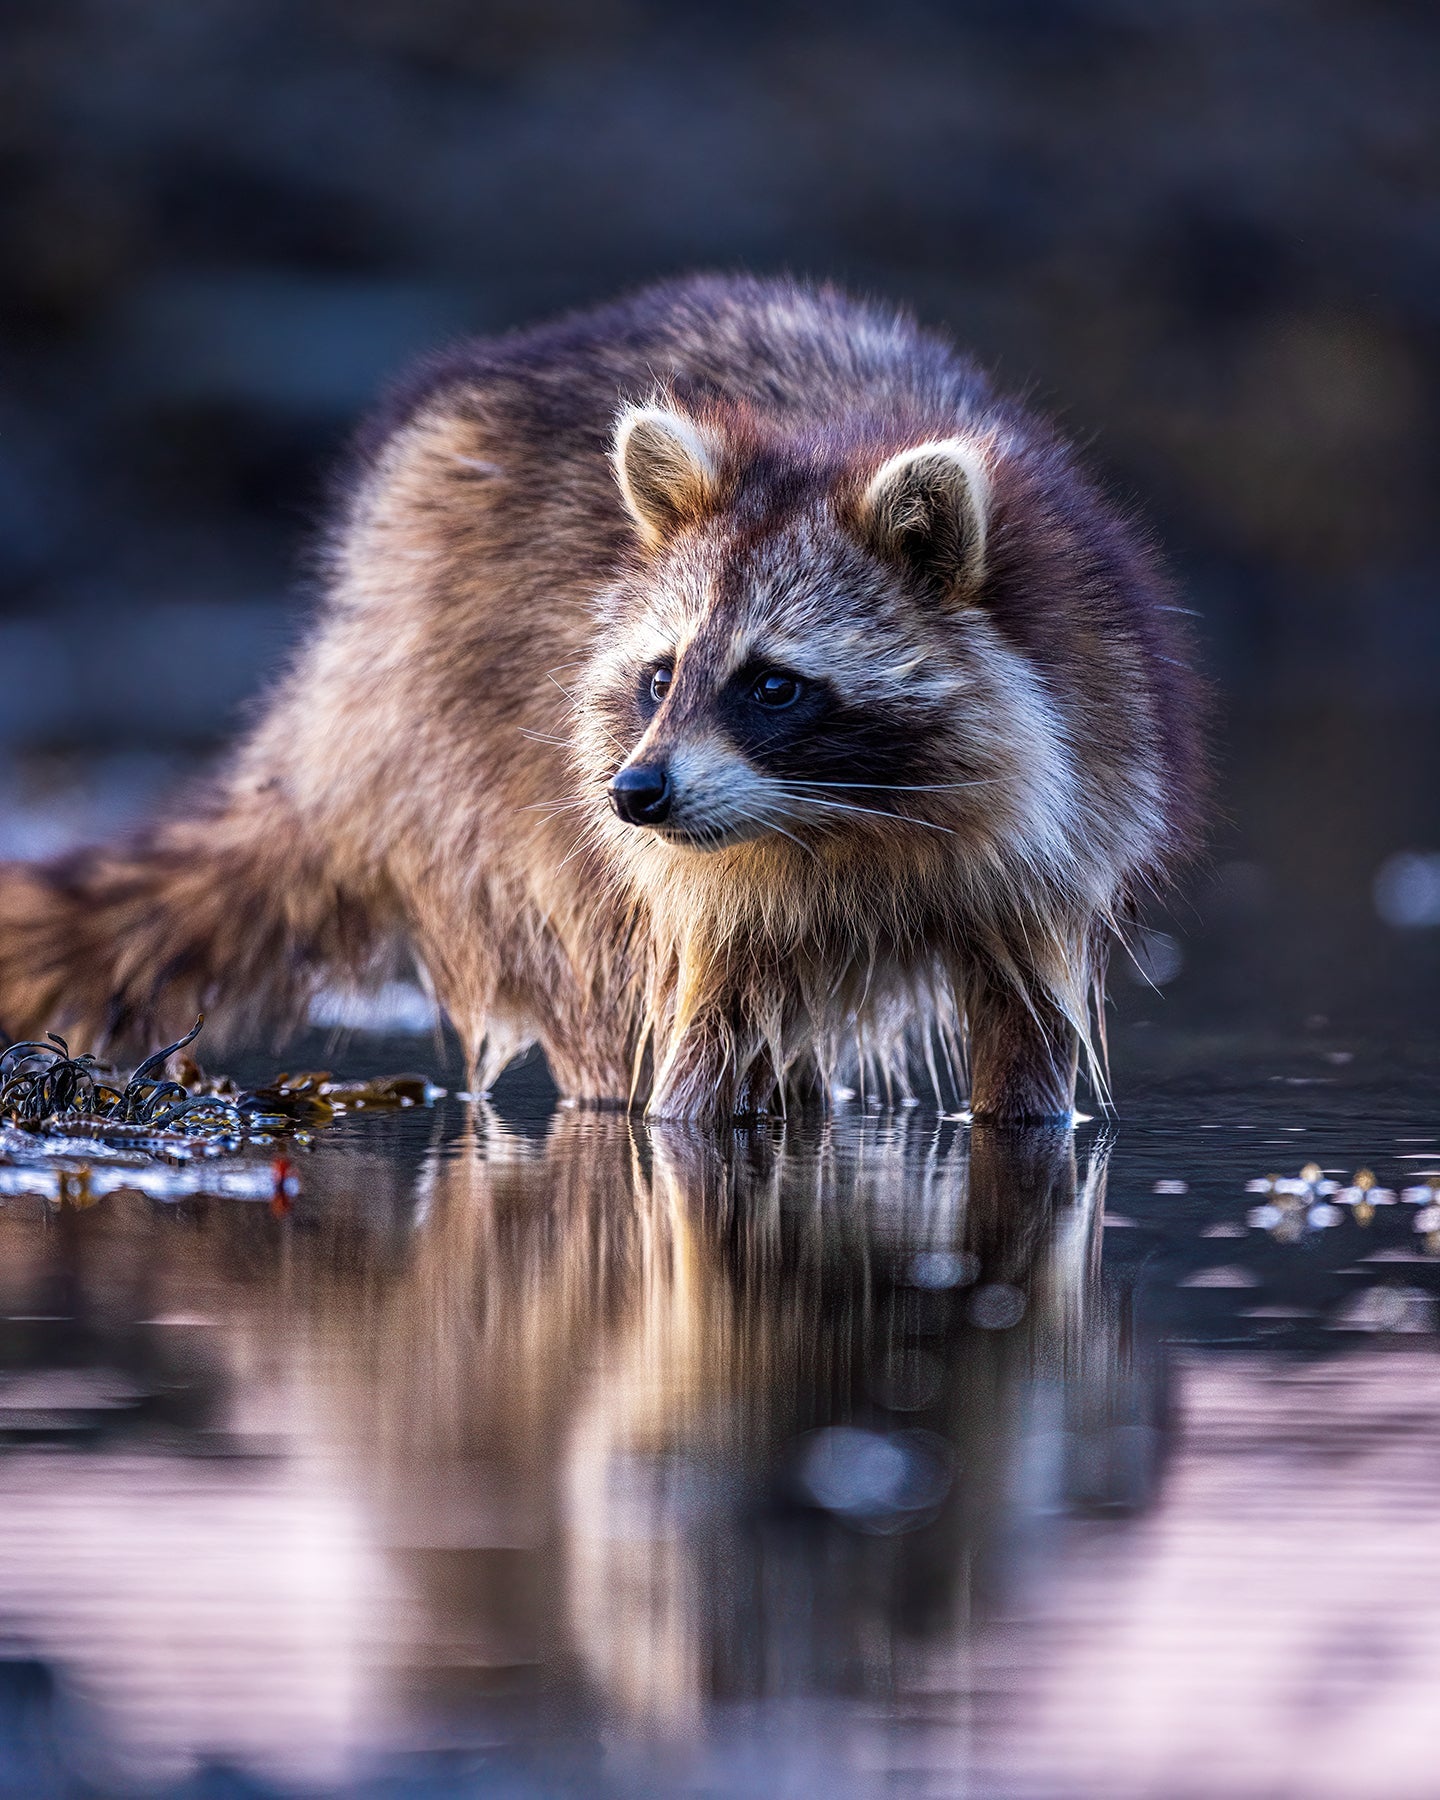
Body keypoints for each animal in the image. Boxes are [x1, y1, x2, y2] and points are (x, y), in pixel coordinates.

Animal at [0, 275, 1201, 1121]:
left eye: (774, 686)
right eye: (659, 676)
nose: (636, 795)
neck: (845, 823)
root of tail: (345, 666)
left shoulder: (1073, 808)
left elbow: (1030, 1055)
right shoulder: (683, 887)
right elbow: (689, 1063)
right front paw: (677, 1118)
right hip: (473, 795)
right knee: (593, 983)